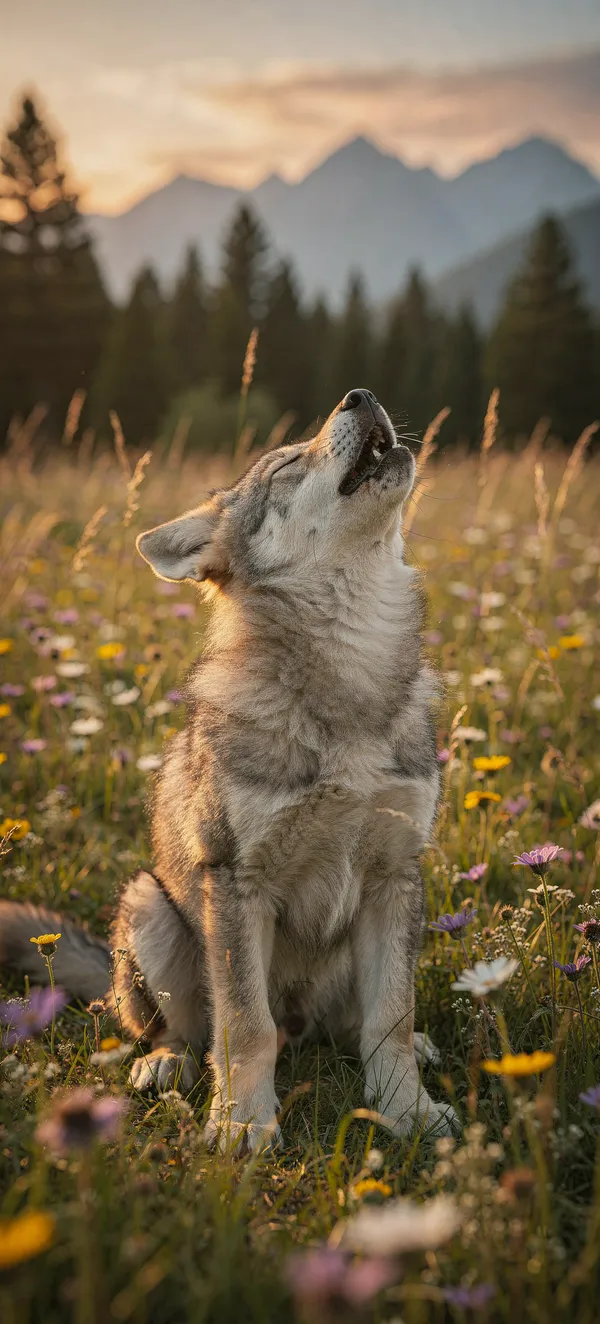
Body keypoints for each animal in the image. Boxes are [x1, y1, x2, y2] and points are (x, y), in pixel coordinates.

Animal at [0, 388, 456, 1149]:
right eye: (287, 466)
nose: (360, 396)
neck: (351, 675)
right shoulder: (237, 882)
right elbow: (245, 1028)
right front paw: (243, 1124)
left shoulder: (396, 874)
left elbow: (391, 1018)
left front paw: (407, 1110)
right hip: (151, 907)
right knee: (189, 1034)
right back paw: (166, 1067)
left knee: (353, 1028)